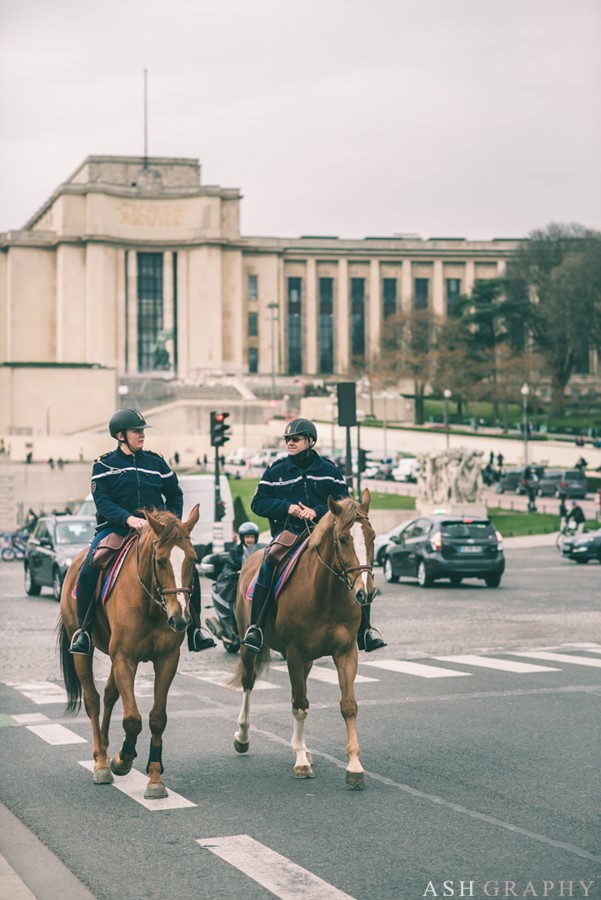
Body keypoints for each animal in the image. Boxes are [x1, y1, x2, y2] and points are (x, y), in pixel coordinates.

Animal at [55, 506, 199, 800]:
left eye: (192, 560)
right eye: (161, 561)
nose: (180, 619)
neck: (151, 604)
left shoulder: (167, 661)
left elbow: (157, 718)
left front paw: (154, 778)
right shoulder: (125, 659)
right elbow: (132, 719)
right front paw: (122, 760)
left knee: (110, 694)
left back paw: (106, 746)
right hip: (83, 652)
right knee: (93, 699)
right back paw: (101, 760)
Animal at [231, 488, 376, 792]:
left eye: (372, 536)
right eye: (343, 539)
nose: (365, 593)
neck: (327, 593)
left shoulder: (346, 652)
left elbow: (348, 706)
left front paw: (354, 765)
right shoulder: (295, 653)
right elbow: (299, 704)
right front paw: (300, 761)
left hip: (308, 659)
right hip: (249, 646)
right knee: (249, 683)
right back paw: (244, 736)